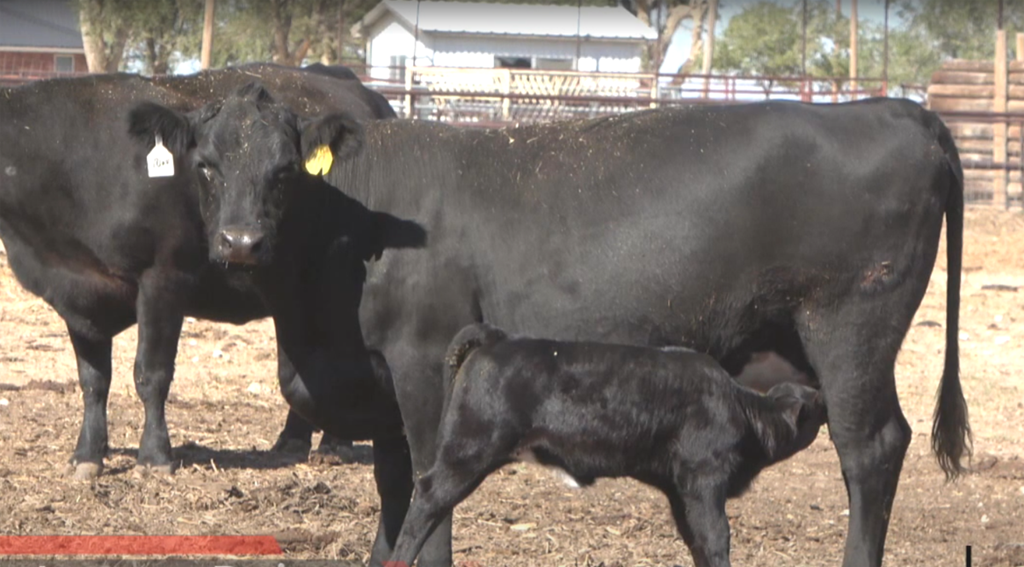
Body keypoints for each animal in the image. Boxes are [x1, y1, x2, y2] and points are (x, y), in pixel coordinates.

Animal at [0, 62, 391, 476]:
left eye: (287, 171)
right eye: (204, 166)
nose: (241, 242)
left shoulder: (163, 279)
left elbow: (151, 373)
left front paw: (155, 456)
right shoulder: (80, 293)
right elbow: (93, 379)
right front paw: (88, 454)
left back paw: (336, 445)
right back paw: (291, 443)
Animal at [387, 321, 827, 564]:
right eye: (817, 403)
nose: (825, 395)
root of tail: (500, 338)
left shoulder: (679, 490)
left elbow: (697, 541)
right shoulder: (704, 480)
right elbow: (716, 539)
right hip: (468, 450)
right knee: (425, 501)